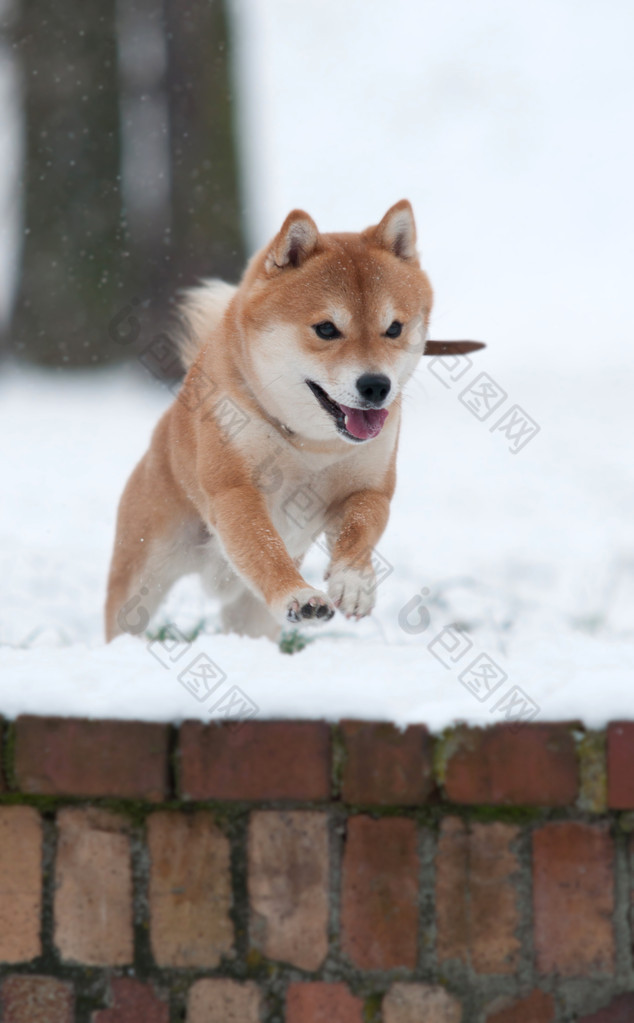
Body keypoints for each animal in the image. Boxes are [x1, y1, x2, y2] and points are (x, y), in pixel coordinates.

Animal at [105, 201, 470, 638]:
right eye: (326, 329)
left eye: (394, 328)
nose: (376, 385)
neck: (311, 444)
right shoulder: (236, 490)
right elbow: (265, 547)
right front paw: (299, 597)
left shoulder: (369, 488)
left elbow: (361, 529)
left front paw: (354, 584)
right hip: (144, 571)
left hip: (249, 613)